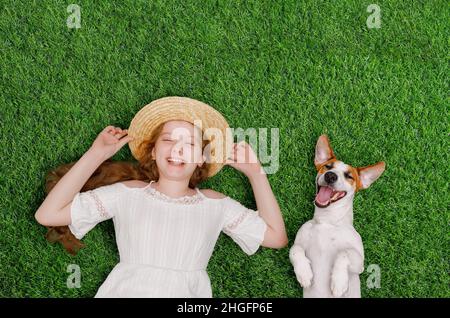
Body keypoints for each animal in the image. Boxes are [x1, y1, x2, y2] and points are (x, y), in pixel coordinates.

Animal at [290, 135, 384, 298]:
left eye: (349, 176)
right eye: (328, 166)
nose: (331, 176)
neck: (327, 221)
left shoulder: (359, 263)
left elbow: (343, 253)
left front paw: (339, 282)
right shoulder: (300, 240)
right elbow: (294, 249)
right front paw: (304, 274)